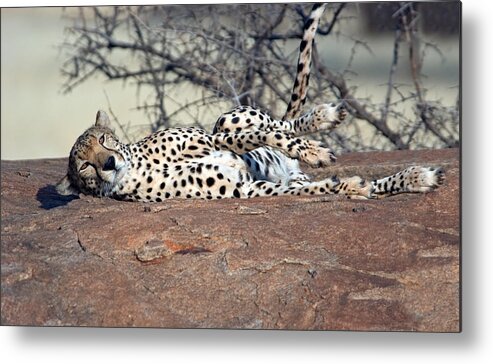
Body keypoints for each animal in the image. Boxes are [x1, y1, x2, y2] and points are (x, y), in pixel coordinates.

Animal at [55, 3, 444, 202]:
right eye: (85, 166)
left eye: (105, 140)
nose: (108, 163)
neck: (138, 165)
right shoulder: (247, 188)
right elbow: (321, 186)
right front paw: (350, 185)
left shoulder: (211, 138)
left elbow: (264, 134)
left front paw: (316, 150)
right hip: (283, 172)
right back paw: (416, 178)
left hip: (226, 117)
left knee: (281, 122)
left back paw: (324, 117)